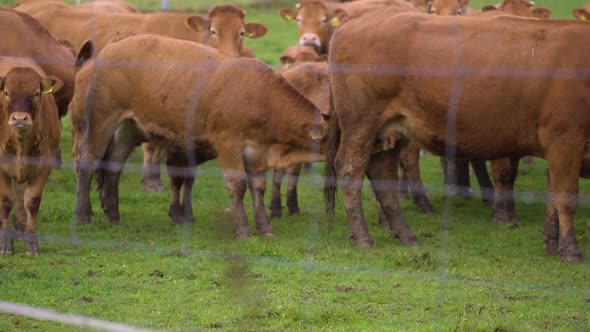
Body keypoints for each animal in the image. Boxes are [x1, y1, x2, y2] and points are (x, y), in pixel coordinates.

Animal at [0, 60, 61, 256]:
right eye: (6, 92)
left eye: (36, 93)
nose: (20, 118)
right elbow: (6, 201)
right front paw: (6, 243)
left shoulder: (45, 164)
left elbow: (32, 201)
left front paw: (31, 243)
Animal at [72, 34, 330, 239]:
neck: (264, 98)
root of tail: (108, 49)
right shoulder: (228, 144)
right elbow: (237, 186)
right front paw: (243, 229)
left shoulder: (257, 152)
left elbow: (258, 188)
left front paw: (265, 227)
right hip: (100, 123)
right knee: (88, 162)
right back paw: (84, 213)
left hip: (127, 130)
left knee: (113, 168)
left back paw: (113, 214)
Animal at [326, 10, 590, 264]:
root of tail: (354, 21)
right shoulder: (566, 139)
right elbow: (566, 199)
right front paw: (571, 251)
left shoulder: (556, 148)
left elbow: (552, 199)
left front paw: (552, 245)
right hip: (361, 123)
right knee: (350, 170)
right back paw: (363, 237)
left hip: (389, 129)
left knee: (382, 174)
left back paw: (406, 235)